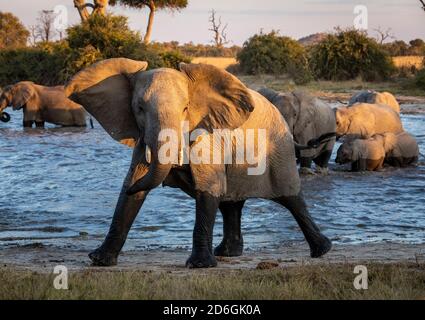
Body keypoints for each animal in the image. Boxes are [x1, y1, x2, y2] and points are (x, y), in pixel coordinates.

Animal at [65, 57, 332, 268]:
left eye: (185, 108)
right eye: (139, 108)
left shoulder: (207, 136)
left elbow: (207, 188)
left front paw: (199, 265)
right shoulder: (143, 139)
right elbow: (131, 192)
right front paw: (99, 260)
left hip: (279, 147)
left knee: (290, 197)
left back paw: (323, 250)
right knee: (229, 202)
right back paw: (228, 253)